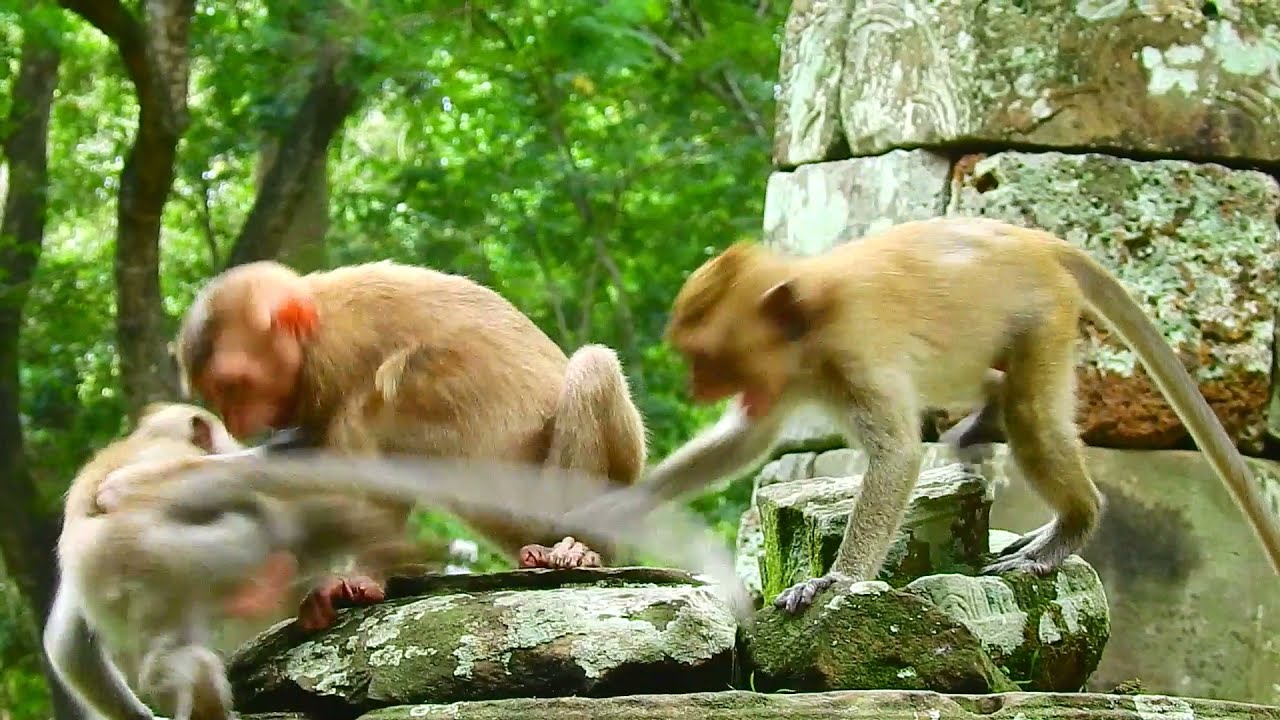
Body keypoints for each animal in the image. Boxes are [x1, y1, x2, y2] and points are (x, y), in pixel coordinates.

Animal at [104, 259, 648, 631]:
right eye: (219, 395)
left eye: (236, 386)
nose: (237, 417)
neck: (316, 324)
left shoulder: (337, 358)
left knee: (591, 365)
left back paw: (578, 545)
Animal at [571, 215, 1280, 616]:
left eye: (707, 359)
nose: (694, 387)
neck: (812, 325)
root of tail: (1039, 242)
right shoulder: (785, 382)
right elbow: (745, 441)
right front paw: (607, 509)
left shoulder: (856, 352)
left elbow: (897, 456)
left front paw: (836, 583)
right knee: (988, 387)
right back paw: (988, 413)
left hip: (1044, 315)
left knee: (1032, 416)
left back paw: (1069, 528)